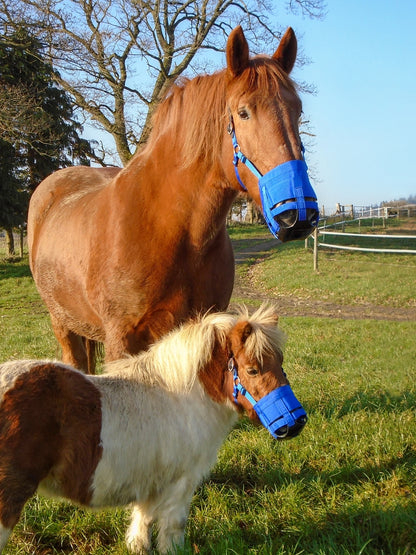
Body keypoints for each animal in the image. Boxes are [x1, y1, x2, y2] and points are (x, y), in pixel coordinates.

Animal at [0, 306, 306, 552]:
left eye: (281, 363)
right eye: (252, 369)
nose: (295, 422)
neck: (179, 395)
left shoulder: (151, 483)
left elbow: (143, 520)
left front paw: (138, 547)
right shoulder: (182, 482)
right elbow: (173, 526)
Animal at [26, 26, 318, 374]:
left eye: (298, 111)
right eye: (243, 112)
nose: (298, 215)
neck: (168, 226)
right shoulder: (121, 342)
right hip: (63, 324)